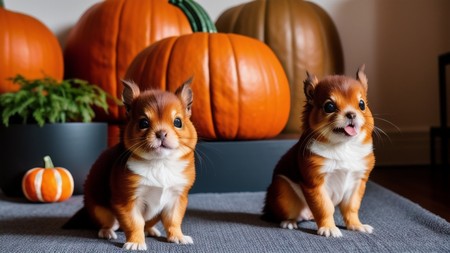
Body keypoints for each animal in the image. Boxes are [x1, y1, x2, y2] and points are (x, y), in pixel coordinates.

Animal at [83, 78, 199, 250]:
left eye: (178, 122)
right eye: (143, 123)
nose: (161, 133)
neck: (160, 163)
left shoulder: (177, 198)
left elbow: (173, 220)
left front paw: (178, 236)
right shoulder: (127, 201)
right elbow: (135, 223)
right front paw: (136, 242)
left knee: (148, 224)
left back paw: (151, 230)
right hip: (101, 211)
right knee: (109, 223)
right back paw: (106, 232)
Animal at [264, 66, 376, 238]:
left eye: (362, 104)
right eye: (329, 107)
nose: (351, 114)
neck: (343, 146)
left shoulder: (357, 182)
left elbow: (351, 208)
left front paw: (356, 225)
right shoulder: (315, 184)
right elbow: (324, 208)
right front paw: (328, 228)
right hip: (283, 191)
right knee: (288, 213)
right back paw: (289, 222)